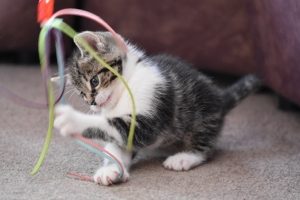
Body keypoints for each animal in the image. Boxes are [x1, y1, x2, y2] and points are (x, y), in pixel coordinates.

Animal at [53, 31, 260, 186]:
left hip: (202, 115)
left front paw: (72, 120)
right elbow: (116, 144)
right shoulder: (125, 135)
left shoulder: (152, 111)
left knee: (205, 147)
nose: (92, 103)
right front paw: (110, 170)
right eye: (82, 94)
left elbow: (110, 125)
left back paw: (184, 158)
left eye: (94, 81)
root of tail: (220, 97)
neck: (125, 91)